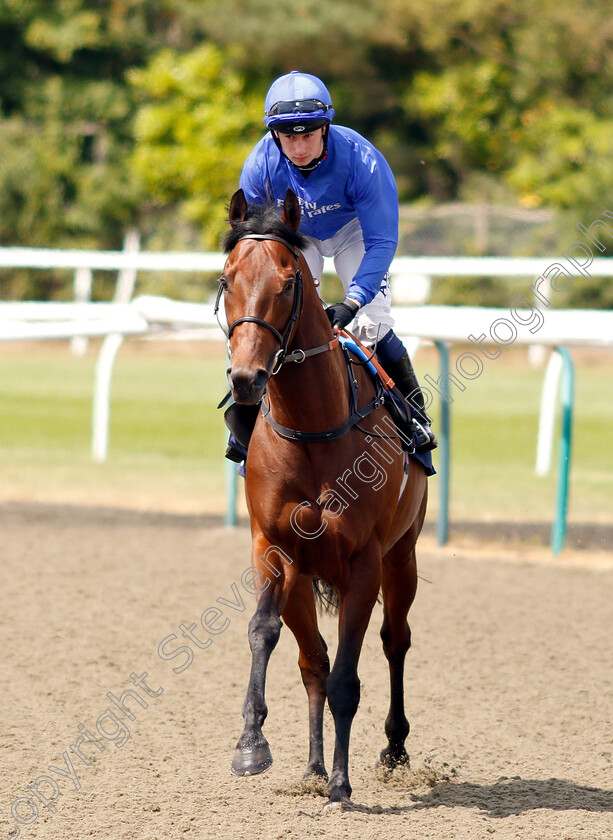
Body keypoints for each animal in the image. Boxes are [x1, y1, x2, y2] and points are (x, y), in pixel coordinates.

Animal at [219, 187, 426, 804]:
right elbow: (266, 634)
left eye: (289, 283)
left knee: (394, 640)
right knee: (312, 659)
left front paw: (342, 783)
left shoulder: (362, 562)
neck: (313, 429)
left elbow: (348, 680)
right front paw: (252, 744)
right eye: (225, 278)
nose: (247, 378)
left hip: (401, 557)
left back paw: (391, 749)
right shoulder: (274, 548)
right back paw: (311, 767)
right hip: (304, 576)